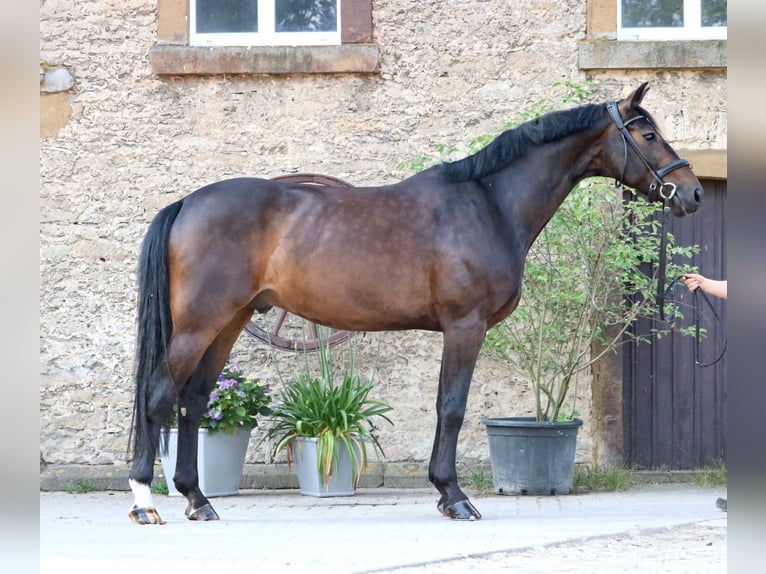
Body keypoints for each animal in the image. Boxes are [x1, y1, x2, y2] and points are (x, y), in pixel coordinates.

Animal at [127, 81, 704, 528]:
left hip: (231, 321)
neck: (488, 202)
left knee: (193, 399)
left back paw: (198, 501)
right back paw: (144, 502)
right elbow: (452, 408)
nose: (692, 193)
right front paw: (454, 497)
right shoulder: (465, 325)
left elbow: (447, 406)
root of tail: (187, 203)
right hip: (199, 324)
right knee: (158, 395)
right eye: (648, 134)